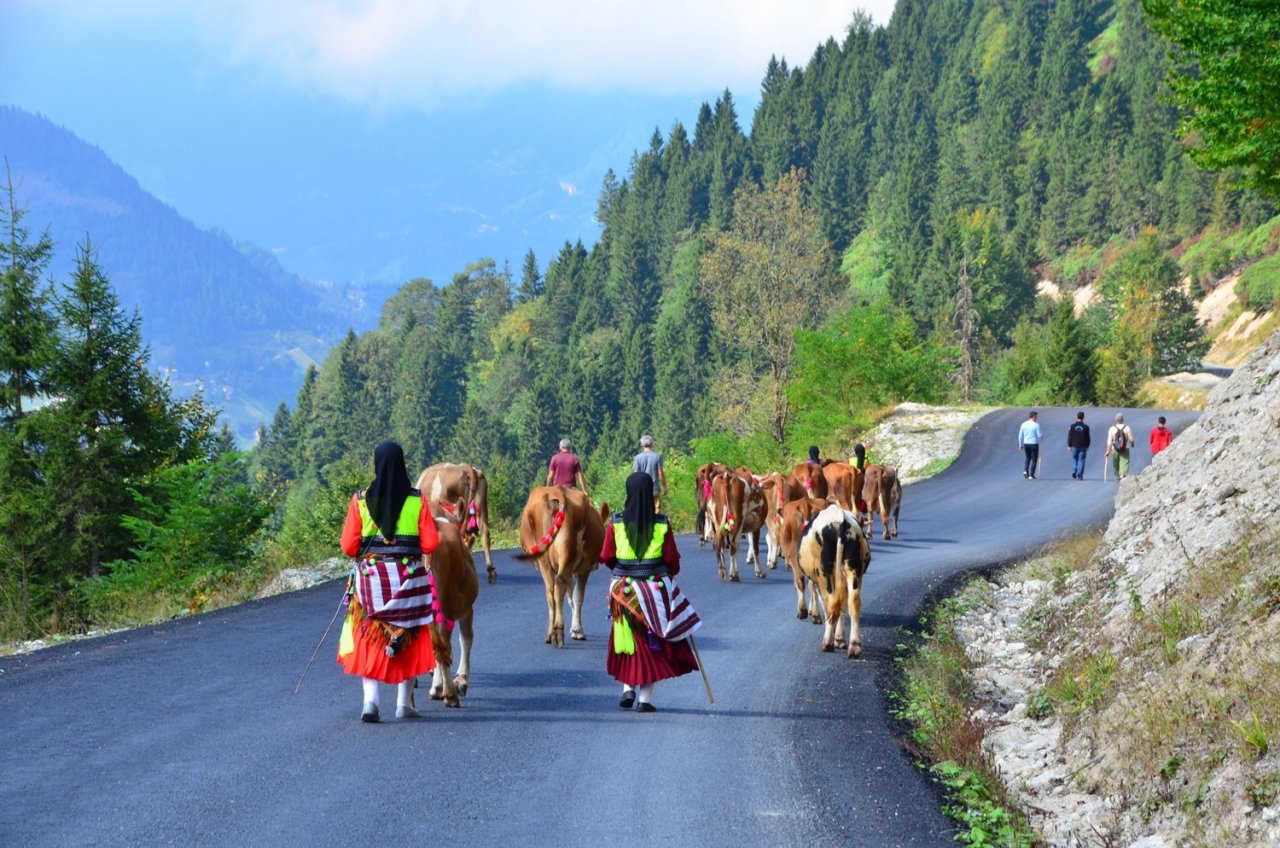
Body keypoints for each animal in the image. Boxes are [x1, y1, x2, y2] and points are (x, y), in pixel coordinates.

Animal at [514, 489, 604, 648]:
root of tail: (557, 491)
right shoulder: (584, 569)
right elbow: (577, 597)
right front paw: (577, 630)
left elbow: (570, 596)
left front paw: (574, 629)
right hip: (565, 554)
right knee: (559, 585)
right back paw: (558, 631)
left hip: (544, 557)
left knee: (551, 589)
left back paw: (551, 633)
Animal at [793, 504, 875, 655]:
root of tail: (839, 518)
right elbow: (843, 607)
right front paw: (840, 639)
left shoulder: (818, 580)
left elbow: (822, 600)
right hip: (853, 569)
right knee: (853, 602)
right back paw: (854, 646)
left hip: (825, 572)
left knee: (832, 603)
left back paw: (827, 643)